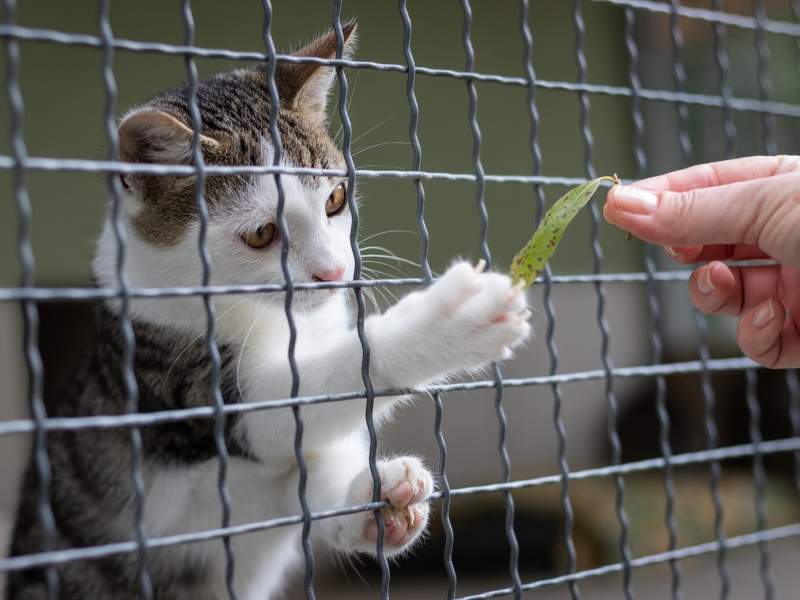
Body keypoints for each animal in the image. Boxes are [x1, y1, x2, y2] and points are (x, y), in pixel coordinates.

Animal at [7, 21, 532, 596]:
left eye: (335, 200)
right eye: (261, 233)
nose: (333, 271)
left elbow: (310, 460)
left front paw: (375, 504)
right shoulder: (181, 385)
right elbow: (291, 405)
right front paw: (445, 323)